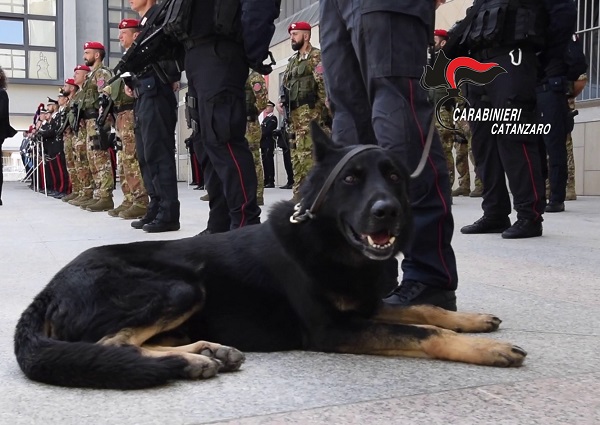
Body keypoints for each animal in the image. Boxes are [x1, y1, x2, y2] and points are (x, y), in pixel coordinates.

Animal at [14, 121, 524, 388]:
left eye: (395, 176)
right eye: (351, 179)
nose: (389, 213)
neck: (327, 240)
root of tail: (45, 292)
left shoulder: (365, 307)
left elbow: (423, 310)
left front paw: (472, 320)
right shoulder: (333, 329)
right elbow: (423, 331)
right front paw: (487, 348)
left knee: (131, 344)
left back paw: (207, 351)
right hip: (181, 286)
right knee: (110, 345)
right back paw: (192, 361)